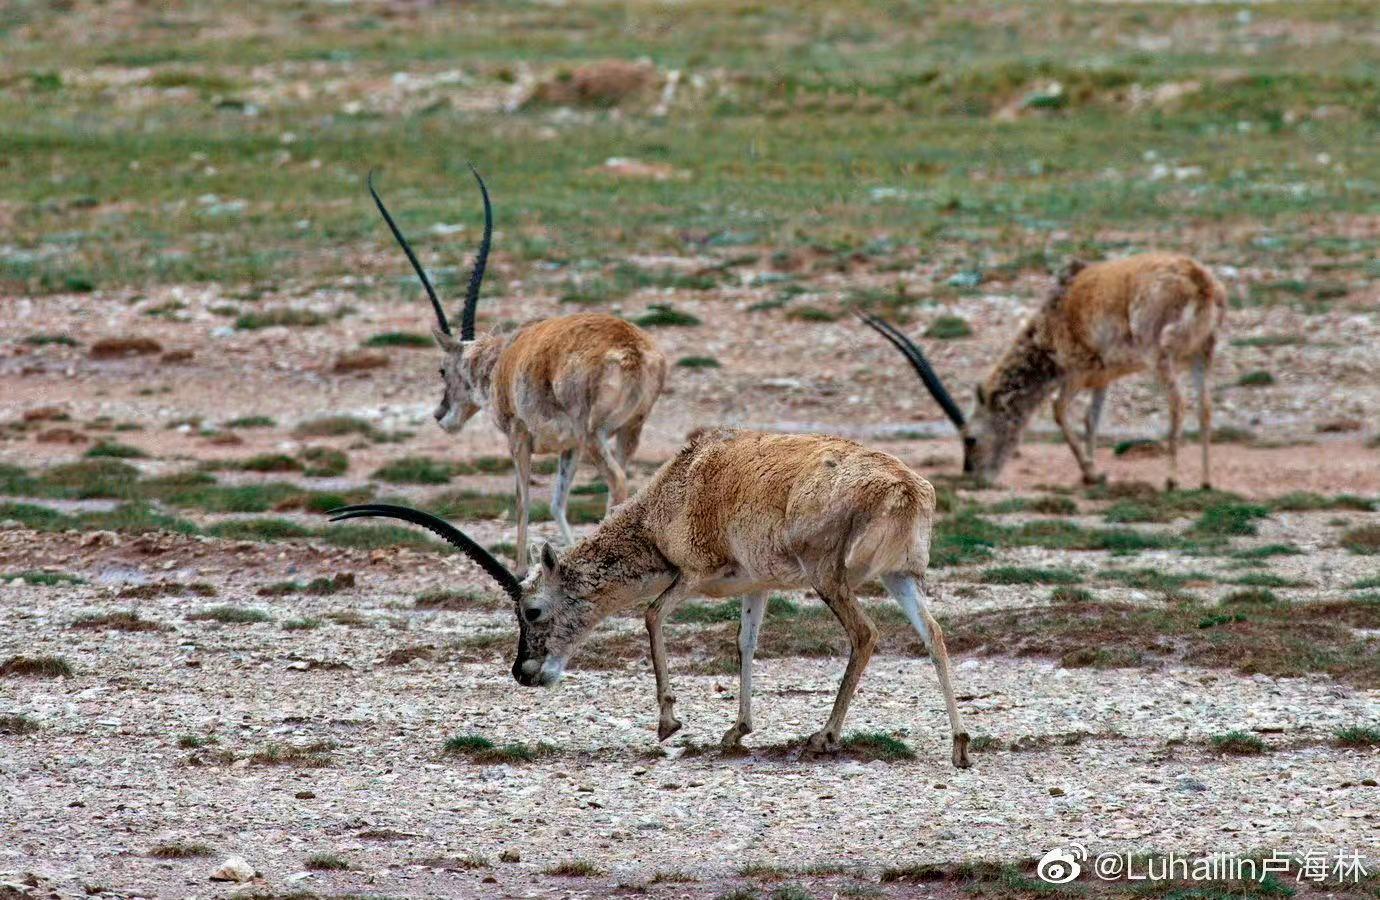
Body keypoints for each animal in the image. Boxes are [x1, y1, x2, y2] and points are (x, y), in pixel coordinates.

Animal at [329, 427, 977, 767]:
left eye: (532, 609)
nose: (525, 672)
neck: (673, 487)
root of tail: (906, 489)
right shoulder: (757, 586)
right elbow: (745, 643)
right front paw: (736, 730)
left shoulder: (690, 573)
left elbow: (651, 614)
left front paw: (669, 722)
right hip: (901, 577)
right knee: (935, 636)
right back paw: (959, 746)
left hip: (830, 578)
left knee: (866, 634)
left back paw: (825, 736)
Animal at [367, 167, 667, 568]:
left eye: (442, 370)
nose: (441, 415)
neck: (501, 360)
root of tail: (630, 346)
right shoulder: (568, 448)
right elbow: (556, 504)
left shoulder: (518, 437)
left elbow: (522, 502)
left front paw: (522, 568)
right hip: (625, 433)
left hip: (594, 436)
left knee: (617, 483)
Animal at [861, 252, 1230, 488]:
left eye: (971, 438)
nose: (975, 477)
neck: (1055, 312)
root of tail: (1201, 281)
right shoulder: (1103, 377)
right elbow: (1091, 420)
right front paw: (1095, 474)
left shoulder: (1074, 373)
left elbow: (1059, 411)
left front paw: (1089, 473)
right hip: (1202, 355)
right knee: (1206, 408)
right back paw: (1205, 481)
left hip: (1161, 357)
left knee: (1177, 404)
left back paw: (1172, 479)